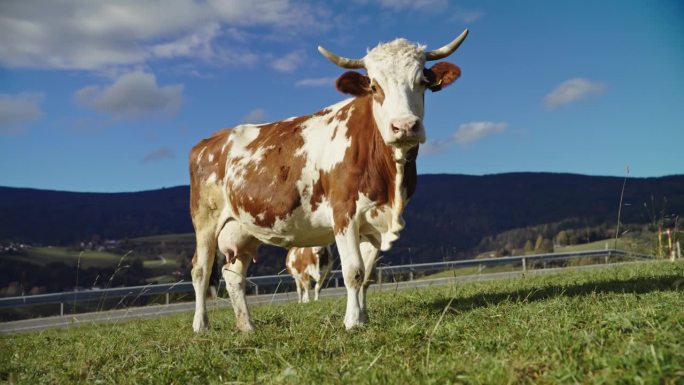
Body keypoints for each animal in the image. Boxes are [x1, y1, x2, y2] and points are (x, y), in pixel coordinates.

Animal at [190, 29, 468, 330]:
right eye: (374, 87)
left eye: (422, 82)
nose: (405, 126)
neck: (390, 180)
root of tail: (210, 141)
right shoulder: (343, 213)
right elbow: (353, 271)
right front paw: (352, 322)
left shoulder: (372, 223)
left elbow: (367, 276)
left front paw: (363, 317)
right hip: (205, 221)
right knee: (201, 270)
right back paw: (201, 325)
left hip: (243, 228)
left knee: (233, 273)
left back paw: (247, 326)